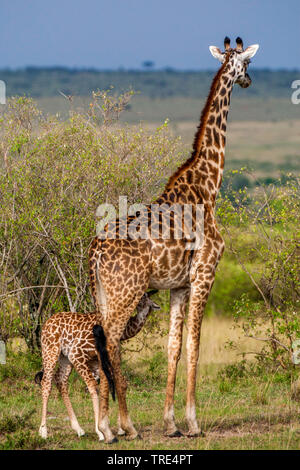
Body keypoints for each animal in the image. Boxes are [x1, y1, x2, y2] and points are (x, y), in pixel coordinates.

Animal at [35, 290, 159, 440]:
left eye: (145, 296)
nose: (135, 300)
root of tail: (46, 324)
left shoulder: (96, 362)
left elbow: (116, 384)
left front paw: (118, 428)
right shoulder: (77, 353)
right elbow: (94, 386)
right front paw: (101, 431)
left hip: (64, 358)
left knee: (60, 380)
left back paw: (78, 429)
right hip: (51, 350)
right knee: (46, 382)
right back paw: (43, 431)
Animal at [88, 37, 258, 444]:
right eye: (247, 63)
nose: (248, 81)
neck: (208, 186)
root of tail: (93, 253)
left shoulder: (178, 285)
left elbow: (173, 347)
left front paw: (171, 424)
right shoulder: (204, 274)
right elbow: (195, 346)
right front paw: (194, 423)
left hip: (103, 293)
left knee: (100, 340)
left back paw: (104, 426)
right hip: (126, 292)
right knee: (111, 342)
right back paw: (120, 426)